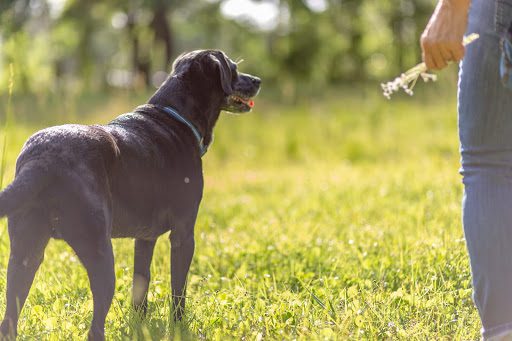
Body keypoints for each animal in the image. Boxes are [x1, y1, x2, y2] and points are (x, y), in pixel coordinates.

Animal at [0, 49, 260, 338]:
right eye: (233, 69)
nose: (257, 81)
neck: (177, 116)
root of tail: (42, 160)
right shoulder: (183, 233)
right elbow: (178, 290)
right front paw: (178, 326)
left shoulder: (145, 238)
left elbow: (140, 284)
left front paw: (140, 324)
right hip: (100, 252)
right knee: (95, 328)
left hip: (24, 255)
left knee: (9, 321)